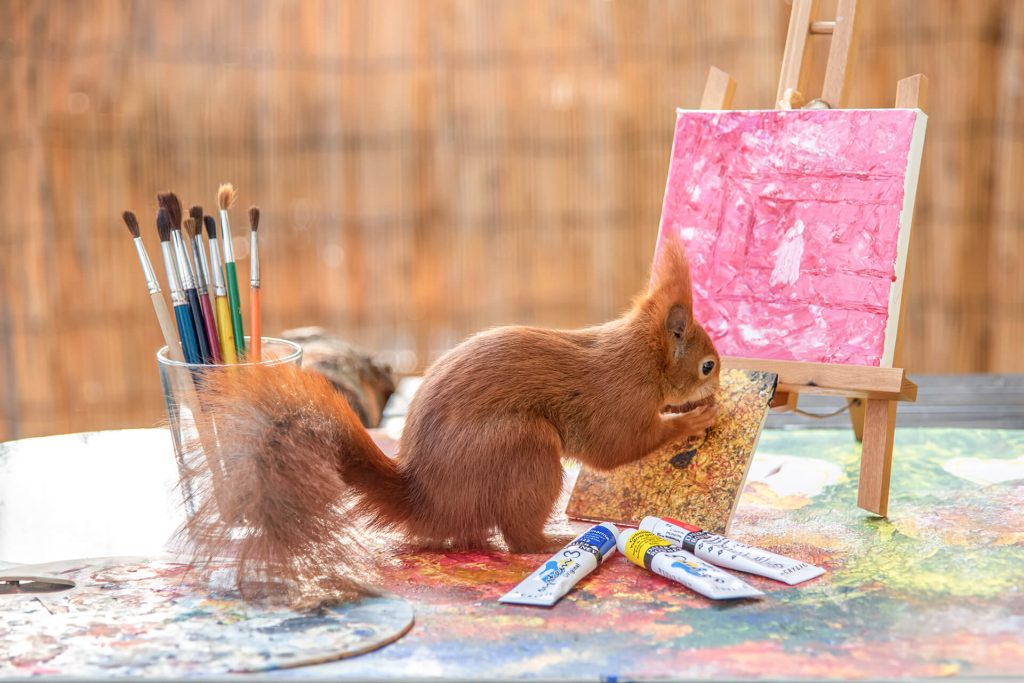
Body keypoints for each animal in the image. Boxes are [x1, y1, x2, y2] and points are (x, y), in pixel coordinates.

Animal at [180, 239, 720, 597]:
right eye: (707, 365)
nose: (716, 381)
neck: (640, 356)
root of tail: (428, 500)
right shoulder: (617, 400)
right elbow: (618, 448)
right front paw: (692, 418)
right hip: (525, 446)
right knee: (515, 538)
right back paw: (551, 542)